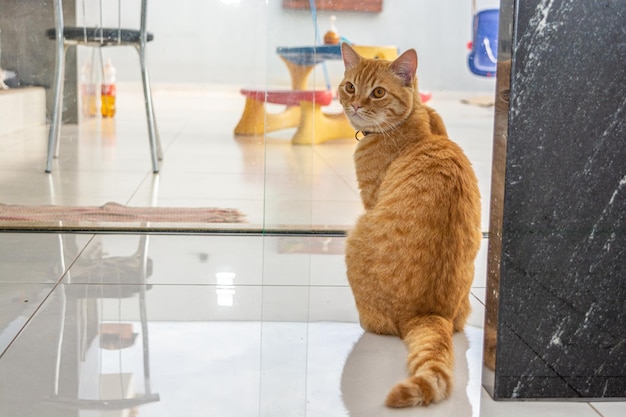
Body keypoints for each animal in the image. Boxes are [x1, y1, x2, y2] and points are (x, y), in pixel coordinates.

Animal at [338, 44, 480, 408]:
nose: (355, 104)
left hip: (355, 234)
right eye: (350, 87)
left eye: (377, 93)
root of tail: (427, 313)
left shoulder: (370, 199)